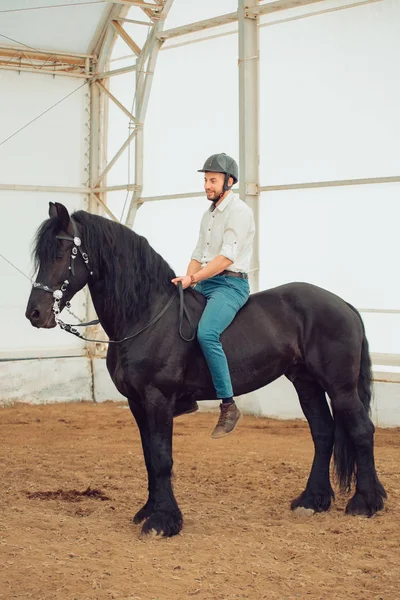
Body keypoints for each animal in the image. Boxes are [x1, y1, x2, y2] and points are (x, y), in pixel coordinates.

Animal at [25, 204, 388, 536]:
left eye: (61, 252)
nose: (35, 313)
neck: (146, 315)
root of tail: (343, 305)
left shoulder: (158, 399)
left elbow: (162, 458)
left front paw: (163, 521)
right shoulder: (137, 403)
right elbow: (149, 456)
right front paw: (149, 511)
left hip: (340, 388)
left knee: (361, 431)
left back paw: (364, 503)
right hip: (307, 383)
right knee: (323, 432)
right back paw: (312, 501)